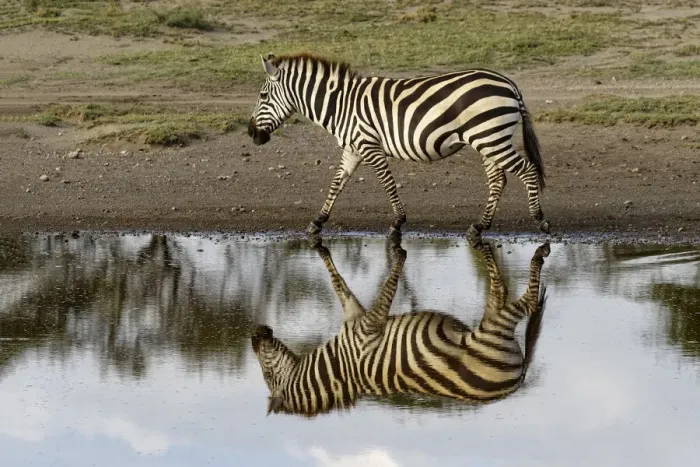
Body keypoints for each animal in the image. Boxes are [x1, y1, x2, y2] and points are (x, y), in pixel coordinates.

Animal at [247, 53, 551, 241]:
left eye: (262, 96)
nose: (251, 133)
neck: (339, 105)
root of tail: (509, 83)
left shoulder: (369, 145)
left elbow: (388, 183)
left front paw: (397, 222)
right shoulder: (352, 149)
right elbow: (336, 184)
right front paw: (317, 222)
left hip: (491, 138)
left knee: (527, 170)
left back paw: (539, 219)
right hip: (488, 140)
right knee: (498, 180)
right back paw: (479, 226)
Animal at [251, 239, 549, 417]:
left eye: (266, 374)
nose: (254, 335)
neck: (339, 367)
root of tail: (517, 382)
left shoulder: (362, 323)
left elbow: (355, 286)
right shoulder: (362, 324)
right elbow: (362, 287)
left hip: (491, 328)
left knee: (513, 295)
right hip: (492, 328)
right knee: (516, 297)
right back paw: (535, 254)